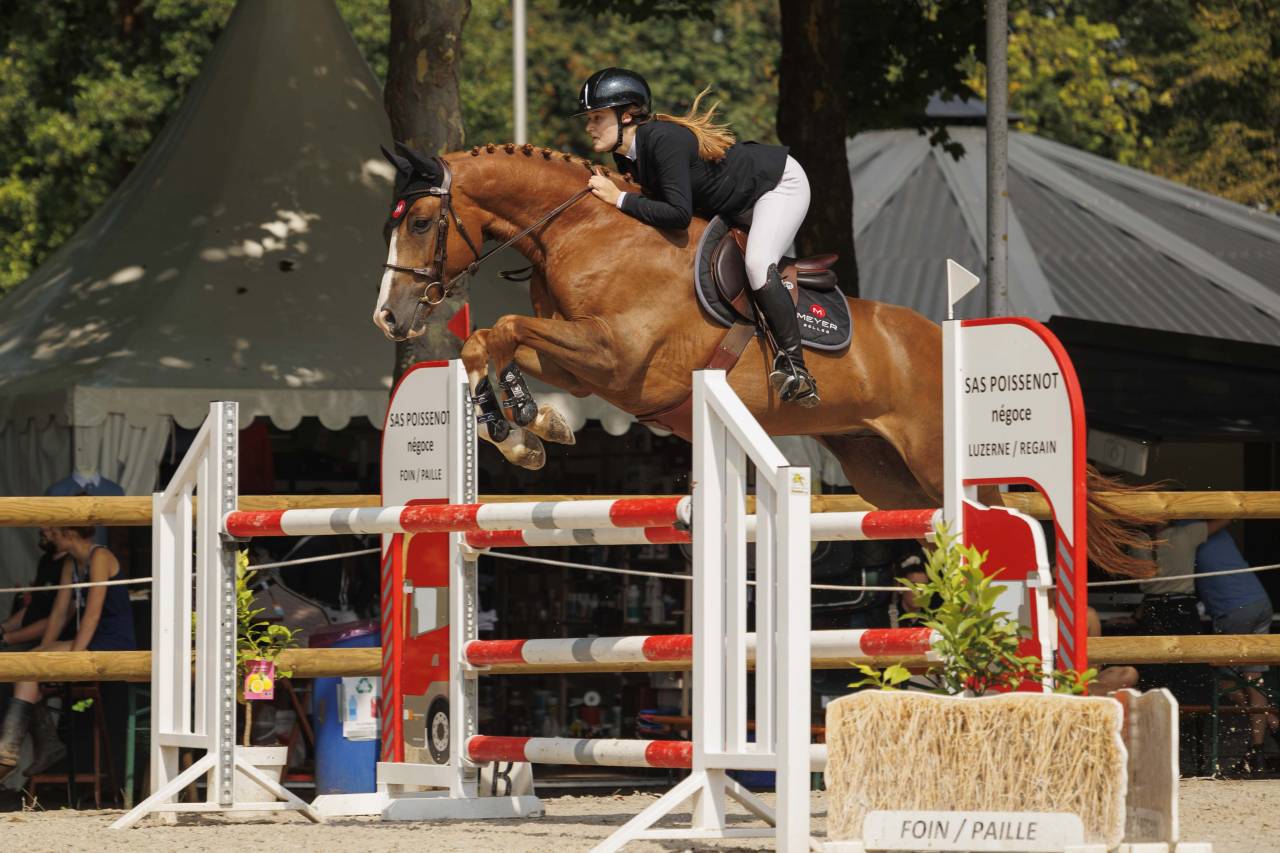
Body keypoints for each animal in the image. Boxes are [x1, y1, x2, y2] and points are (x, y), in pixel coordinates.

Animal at [374, 141, 1153, 578]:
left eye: (422, 221)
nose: (389, 317)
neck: (585, 231)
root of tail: (943, 340)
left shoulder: (618, 356)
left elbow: (499, 327)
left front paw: (524, 429)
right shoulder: (582, 359)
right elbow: (492, 339)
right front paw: (526, 430)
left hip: (934, 458)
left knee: (991, 519)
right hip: (883, 471)